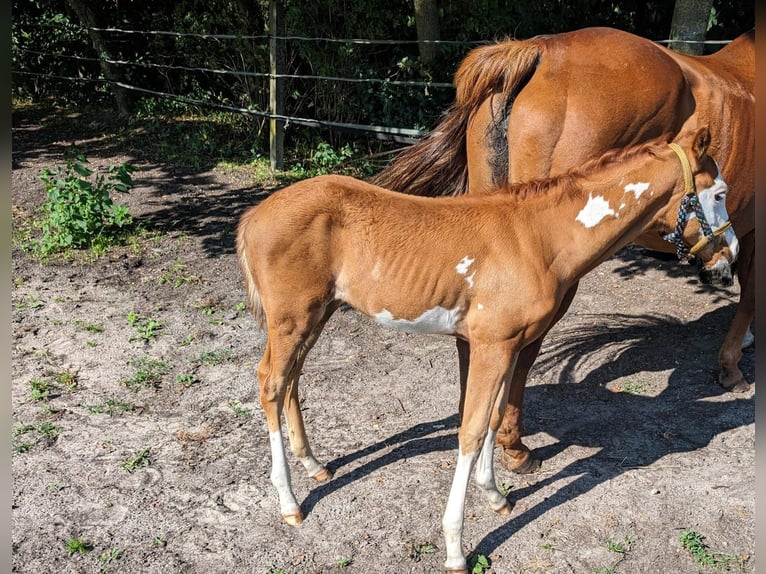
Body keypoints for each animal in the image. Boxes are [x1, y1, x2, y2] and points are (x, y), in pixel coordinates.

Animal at [237, 127, 728, 574]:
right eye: (720, 193)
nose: (727, 263)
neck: (539, 240)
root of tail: (255, 214)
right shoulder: (491, 346)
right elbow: (471, 431)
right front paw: (456, 548)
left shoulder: (508, 346)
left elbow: (493, 418)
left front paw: (496, 497)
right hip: (292, 320)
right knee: (271, 385)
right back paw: (290, 502)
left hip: (317, 315)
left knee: (291, 381)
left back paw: (315, 466)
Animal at [372, 25, 756, 476]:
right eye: (718, 193)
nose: (725, 256)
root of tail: (538, 49)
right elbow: (752, 296)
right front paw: (732, 366)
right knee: (520, 352)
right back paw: (514, 448)